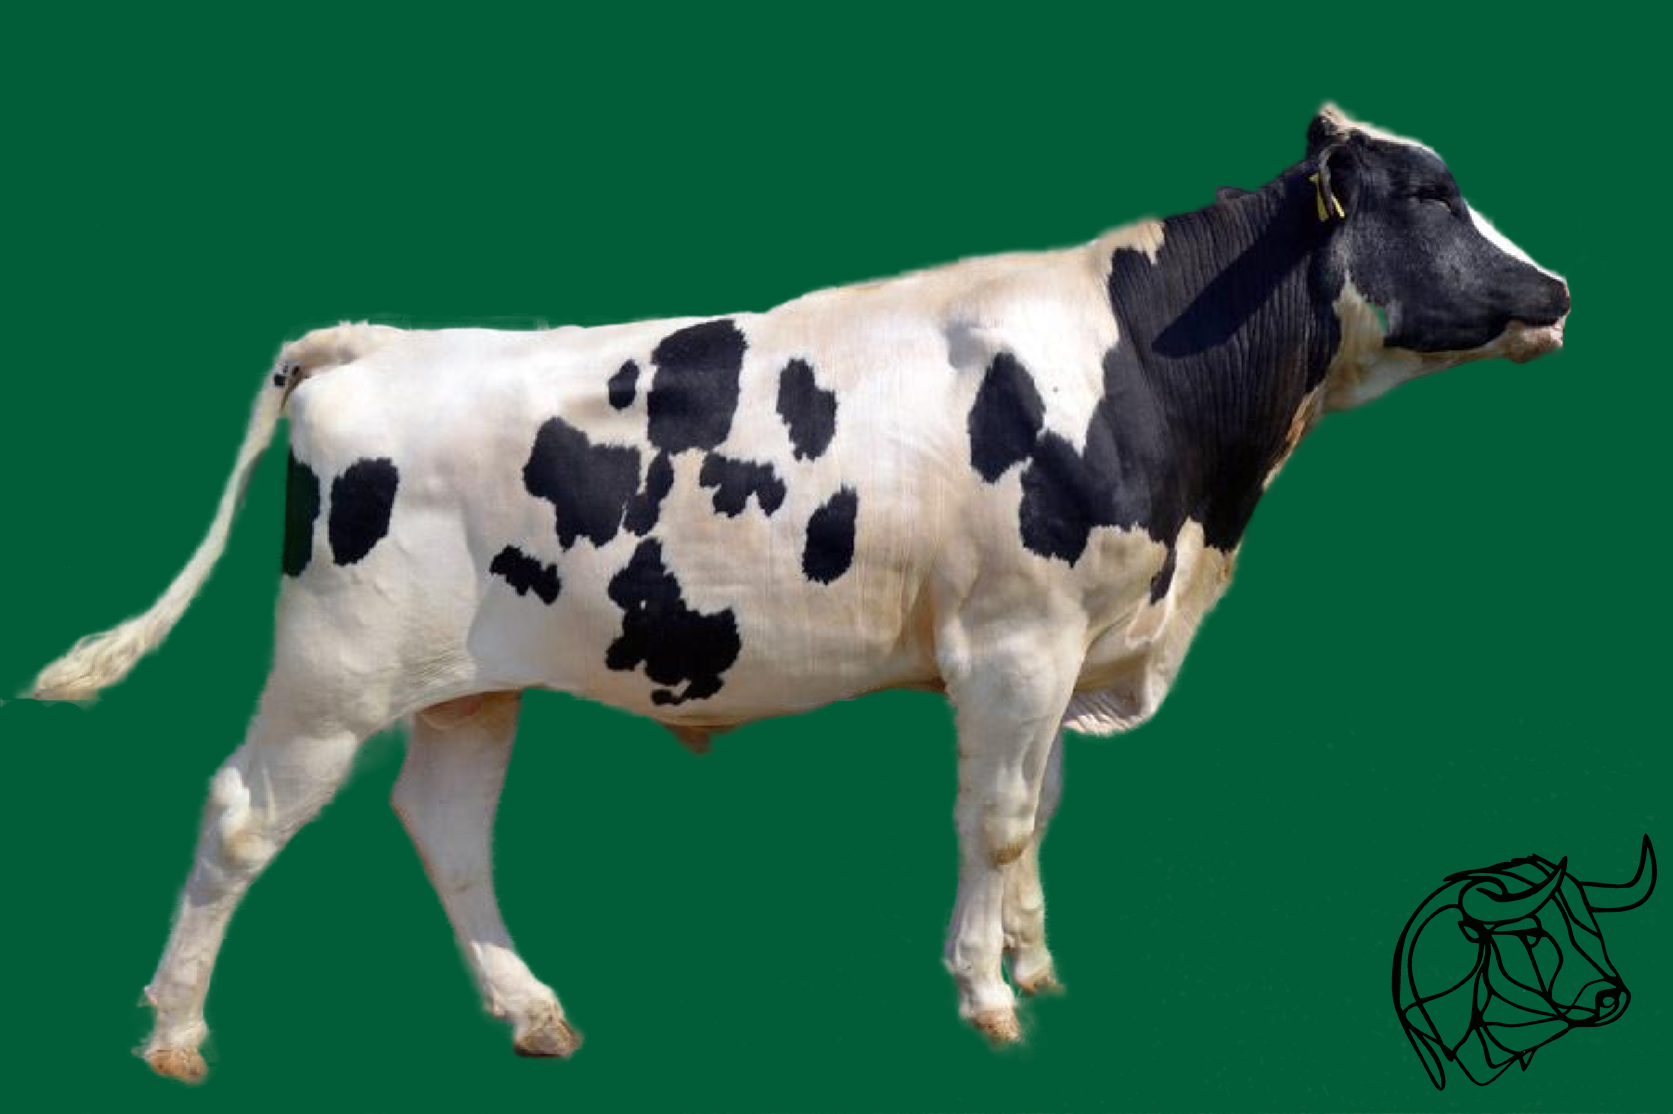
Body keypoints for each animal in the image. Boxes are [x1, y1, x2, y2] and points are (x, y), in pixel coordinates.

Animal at [27, 106, 1571, 1082]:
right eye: (1426, 196)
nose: (1554, 286)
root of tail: (378, 340)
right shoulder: (1013, 640)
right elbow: (996, 816)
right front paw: (985, 993)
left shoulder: (1073, 642)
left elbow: (1039, 811)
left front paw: (1031, 960)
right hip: (332, 668)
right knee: (243, 813)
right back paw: (173, 1033)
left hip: (469, 680)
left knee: (444, 824)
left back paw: (531, 1010)